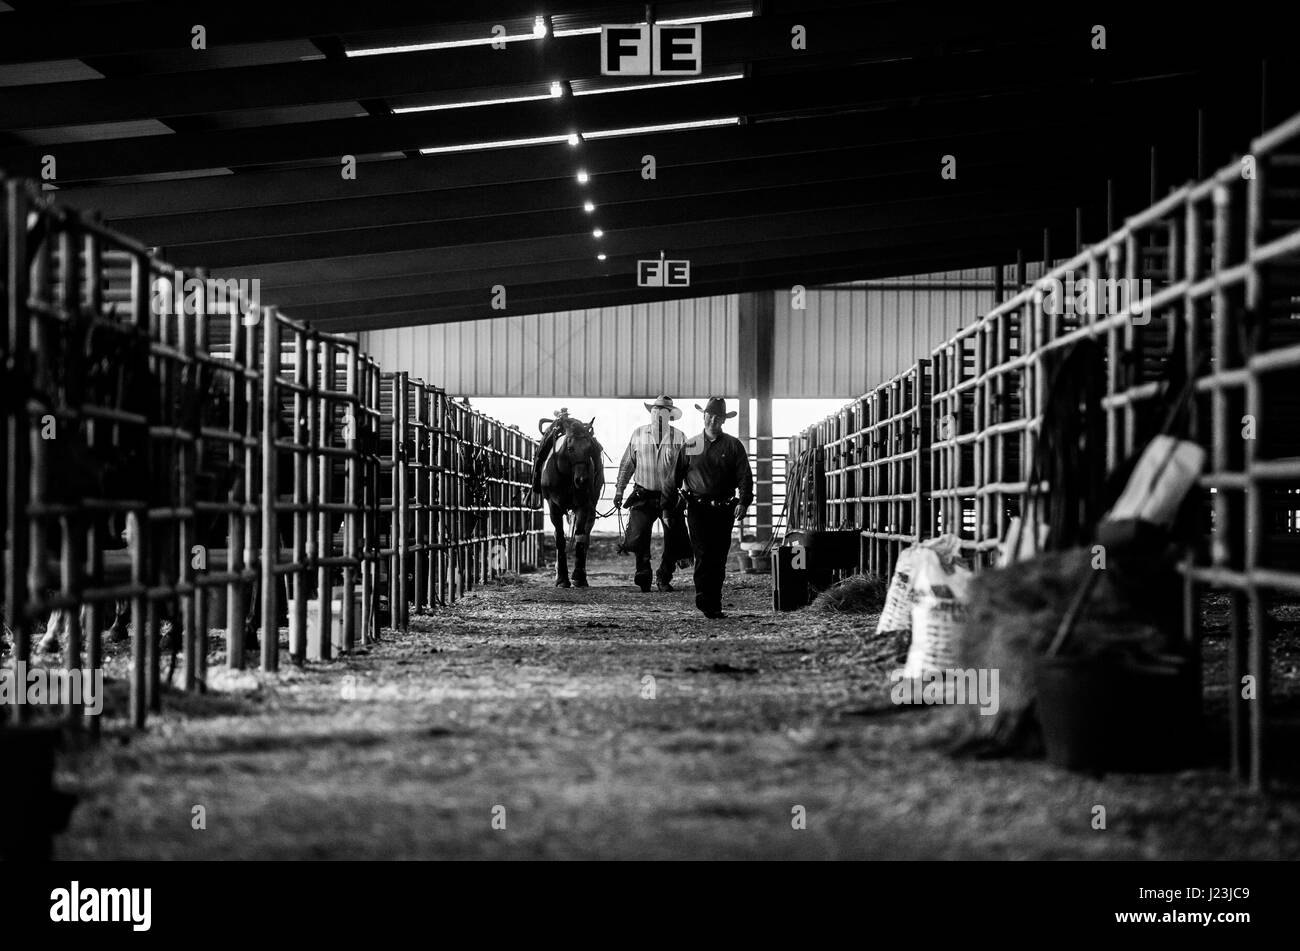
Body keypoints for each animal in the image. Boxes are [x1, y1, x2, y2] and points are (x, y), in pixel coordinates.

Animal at [535, 418, 600, 587]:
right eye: (570, 448)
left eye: (590, 448)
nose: (582, 480)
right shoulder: (554, 507)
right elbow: (559, 538)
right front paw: (562, 578)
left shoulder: (583, 506)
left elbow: (580, 537)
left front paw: (579, 576)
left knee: (586, 537)